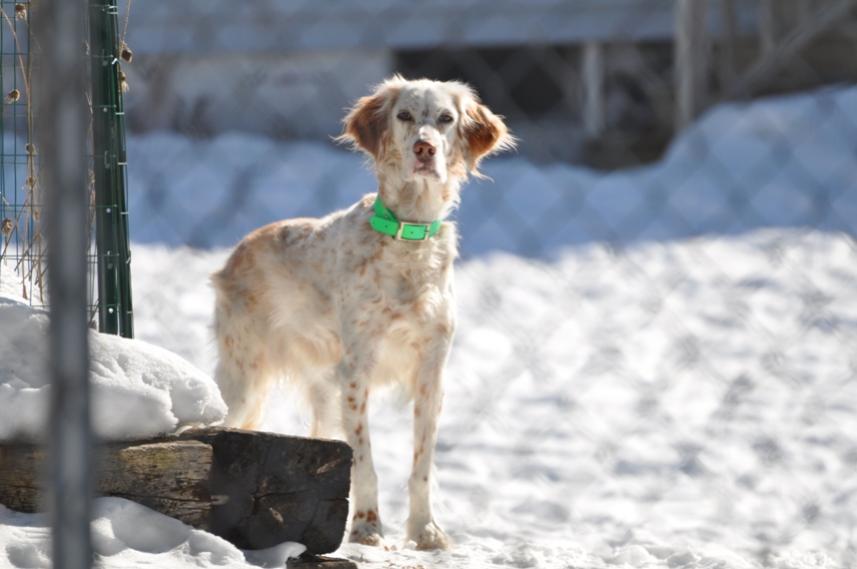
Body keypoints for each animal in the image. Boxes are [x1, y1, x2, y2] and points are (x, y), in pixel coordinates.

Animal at [211, 76, 512, 552]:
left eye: (446, 119)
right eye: (405, 116)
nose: (425, 148)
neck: (408, 238)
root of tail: (238, 250)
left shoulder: (431, 375)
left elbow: (421, 466)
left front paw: (425, 530)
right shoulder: (355, 374)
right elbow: (364, 460)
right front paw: (368, 528)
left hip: (318, 390)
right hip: (244, 381)